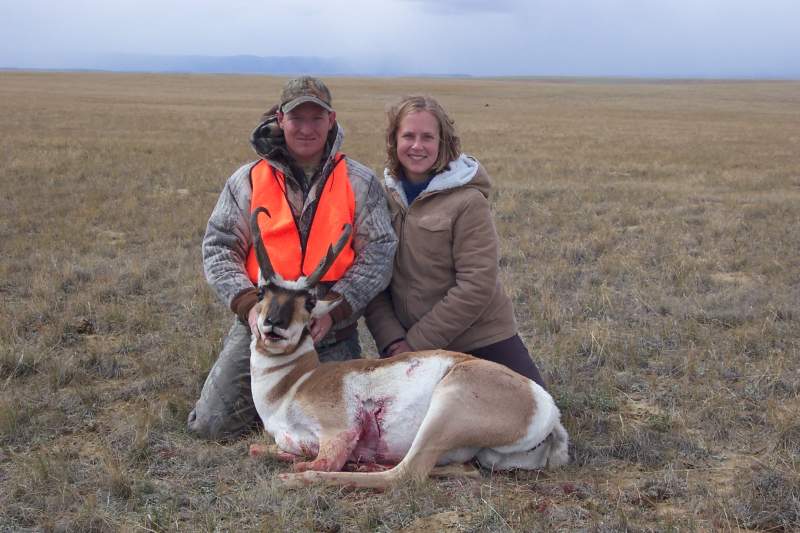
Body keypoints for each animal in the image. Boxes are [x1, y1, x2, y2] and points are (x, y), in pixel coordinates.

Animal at [250, 207, 568, 486]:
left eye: (309, 302)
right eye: (262, 291)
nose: (274, 324)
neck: (295, 382)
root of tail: (547, 407)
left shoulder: (338, 432)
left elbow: (324, 461)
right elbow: (257, 448)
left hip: (446, 409)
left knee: (404, 474)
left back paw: (300, 478)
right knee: (463, 469)